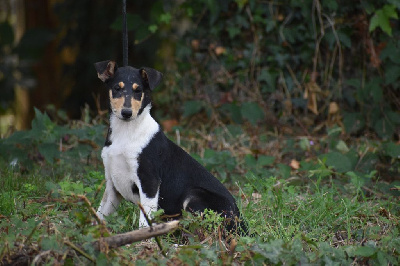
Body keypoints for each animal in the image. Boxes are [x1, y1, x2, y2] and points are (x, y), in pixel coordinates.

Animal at [95, 60, 248, 235]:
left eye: (138, 90)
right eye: (116, 88)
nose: (126, 113)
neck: (126, 133)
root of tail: (242, 224)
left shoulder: (150, 182)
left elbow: (144, 222)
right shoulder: (112, 185)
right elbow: (99, 215)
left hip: (194, 195)